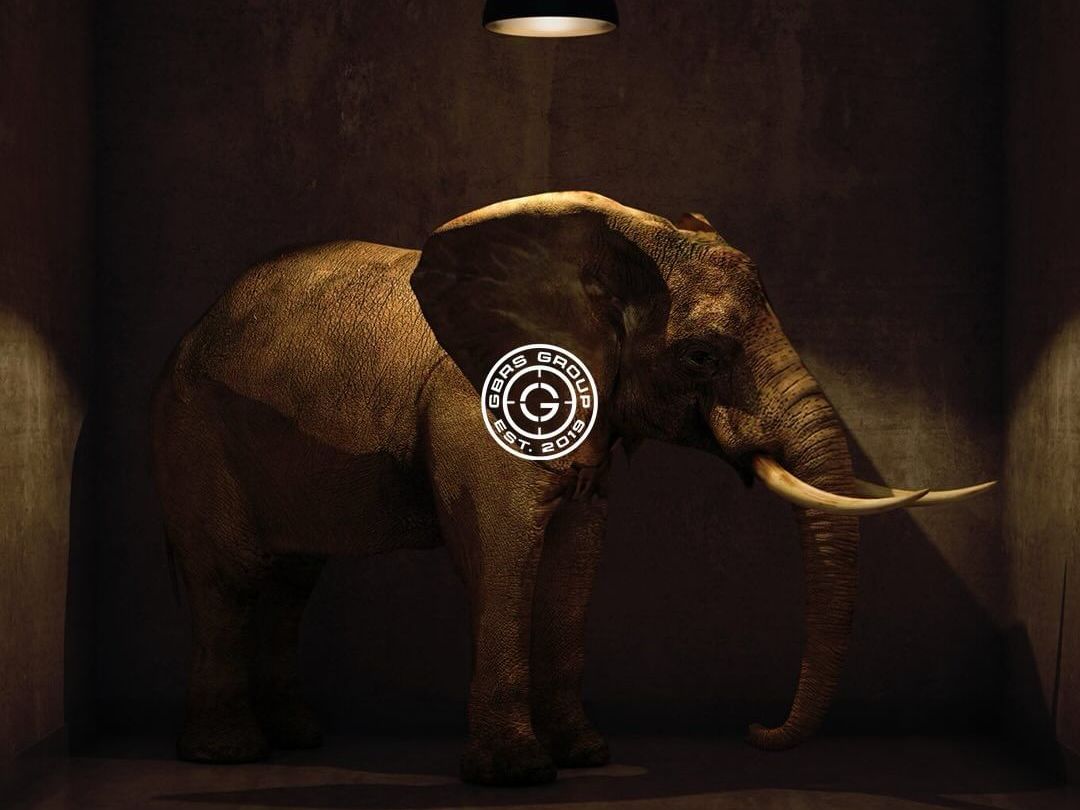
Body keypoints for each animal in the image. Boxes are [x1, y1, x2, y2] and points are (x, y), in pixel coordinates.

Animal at [150, 191, 993, 785]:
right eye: (700, 355)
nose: (758, 734)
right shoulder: (475, 412)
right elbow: (504, 554)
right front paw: (519, 775)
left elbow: (574, 562)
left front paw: (586, 757)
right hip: (194, 432)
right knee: (229, 578)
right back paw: (229, 756)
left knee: (293, 581)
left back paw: (298, 738)